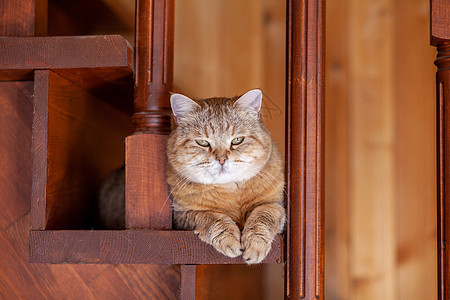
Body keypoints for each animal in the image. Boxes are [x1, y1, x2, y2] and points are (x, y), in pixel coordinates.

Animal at [165, 88, 284, 262]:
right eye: (203, 143)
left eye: (237, 140)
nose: (221, 159)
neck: (230, 189)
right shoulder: (182, 215)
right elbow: (212, 217)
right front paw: (228, 239)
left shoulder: (275, 204)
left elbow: (262, 215)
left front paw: (255, 243)